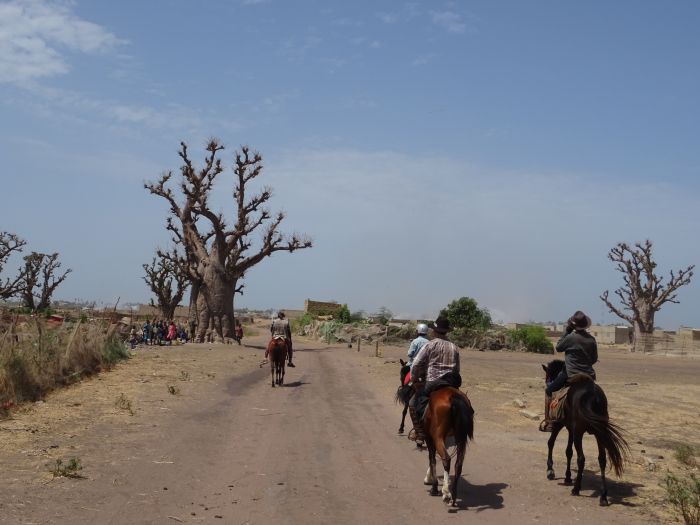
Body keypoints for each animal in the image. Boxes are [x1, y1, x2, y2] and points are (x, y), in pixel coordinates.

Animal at [540, 360, 628, 504]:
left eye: (548, 376)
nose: (547, 385)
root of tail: (593, 395)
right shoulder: (571, 429)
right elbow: (568, 452)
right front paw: (568, 476)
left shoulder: (560, 425)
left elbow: (551, 443)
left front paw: (550, 470)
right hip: (599, 433)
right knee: (602, 459)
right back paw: (603, 496)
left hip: (579, 433)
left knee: (581, 458)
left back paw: (576, 489)